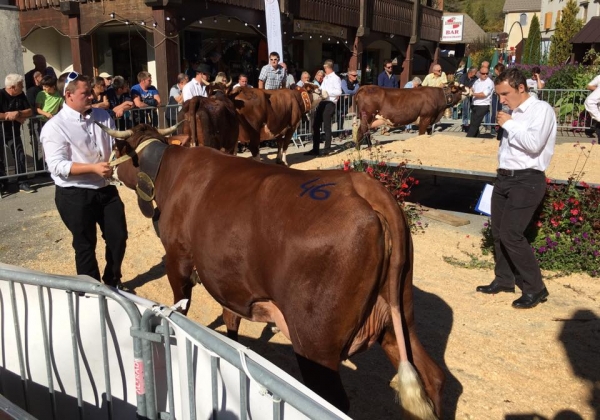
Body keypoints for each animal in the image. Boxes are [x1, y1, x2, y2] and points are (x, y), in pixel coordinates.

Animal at [98, 122, 442, 420]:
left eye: (116, 147)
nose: (106, 168)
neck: (171, 172)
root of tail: (367, 189)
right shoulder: (228, 280)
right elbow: (230, 320)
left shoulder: (177, 259)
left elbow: (181, 309)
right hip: (400, 315)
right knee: (431, 376)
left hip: (316, 343)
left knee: (331, 401)